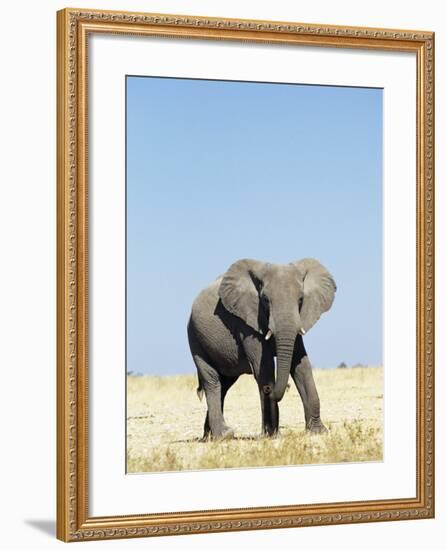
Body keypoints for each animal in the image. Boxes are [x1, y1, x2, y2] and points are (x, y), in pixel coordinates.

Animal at [186, 260, 336, 444]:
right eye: (265, 300)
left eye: (301, 299)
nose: (269, 389)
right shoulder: (246, 323)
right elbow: (264, 368)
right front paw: (272, 435)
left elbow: (302, 367)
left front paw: (318, 432)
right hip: (195, 337)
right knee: (212, 381)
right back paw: (223, 435)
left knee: (225, 384)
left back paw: (209, 436)